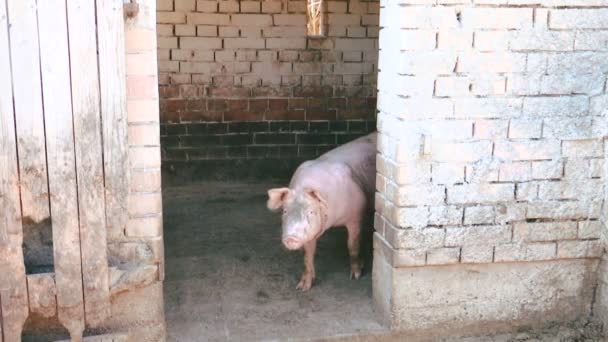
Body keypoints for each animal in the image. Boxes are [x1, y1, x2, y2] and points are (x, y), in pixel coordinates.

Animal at [266, 132, 376, 290]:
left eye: (311, 212)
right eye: (285, 211)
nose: (291, 238)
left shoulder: (356, 216)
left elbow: (352, 245)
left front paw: (355, 276)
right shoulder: (309, 232)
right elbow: (308, 255)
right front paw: (302, 287)